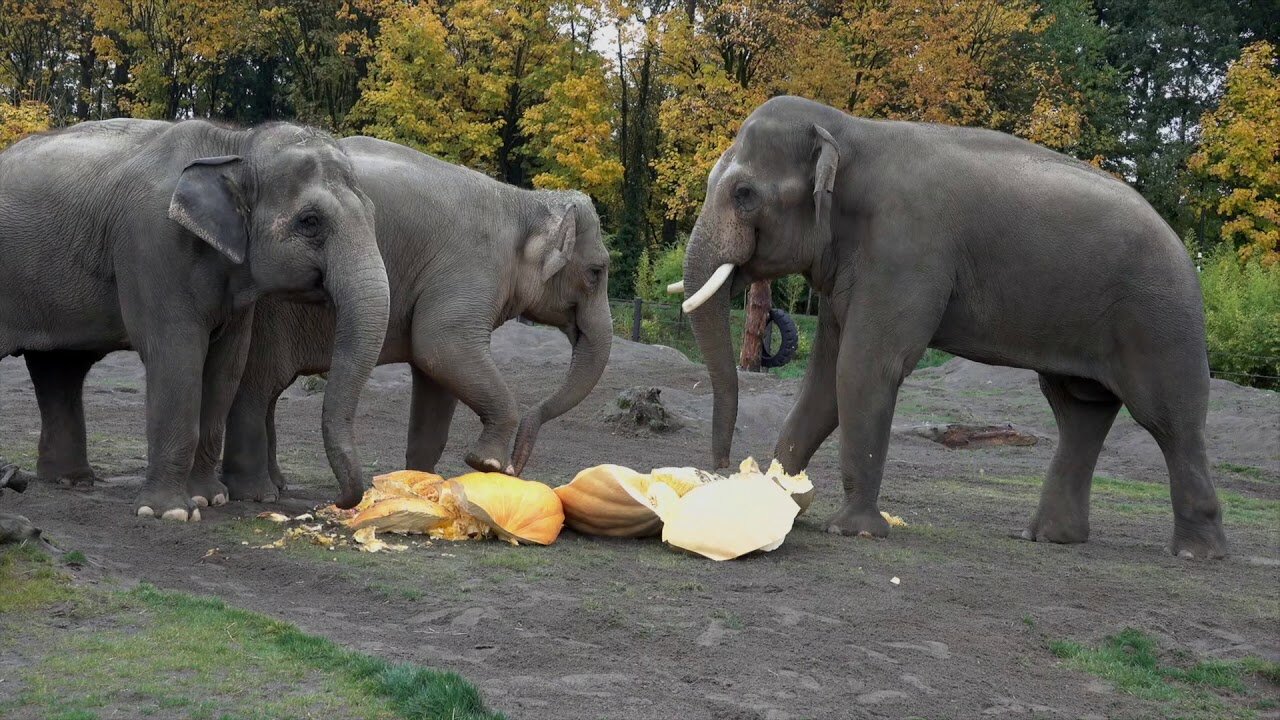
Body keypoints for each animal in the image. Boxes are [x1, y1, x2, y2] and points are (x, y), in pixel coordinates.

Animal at [0, 119, 389, 520]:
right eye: (310, 221)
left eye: (373, 215)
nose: (339, 502)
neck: (235, 145)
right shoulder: (153, 245)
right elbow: (178, 356)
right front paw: (168, 513)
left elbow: (226, 365)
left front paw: (209, 498)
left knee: (60, 369)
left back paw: (71, 481)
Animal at [220, 134, 614, 499]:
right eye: (596, 272)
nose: (515, 469)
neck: (524, 202)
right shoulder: (469, 271)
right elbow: (441, 347)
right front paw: (485, 463)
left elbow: (435, 380)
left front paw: (423, 482)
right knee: (258, 386)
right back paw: (258, 493)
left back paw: (276, 485)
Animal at [680, 95, 1228, 558]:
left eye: (745, 194)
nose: (722, 467)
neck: (849, 130)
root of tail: (1185, 250)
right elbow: (824, 380)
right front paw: (781, 499)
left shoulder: (906, 248)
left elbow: (866, 366)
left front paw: (853, 530)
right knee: (1078, 411)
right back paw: (1048, 538)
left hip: (1160, 320)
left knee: (1168, 418)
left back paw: (1196, 553)